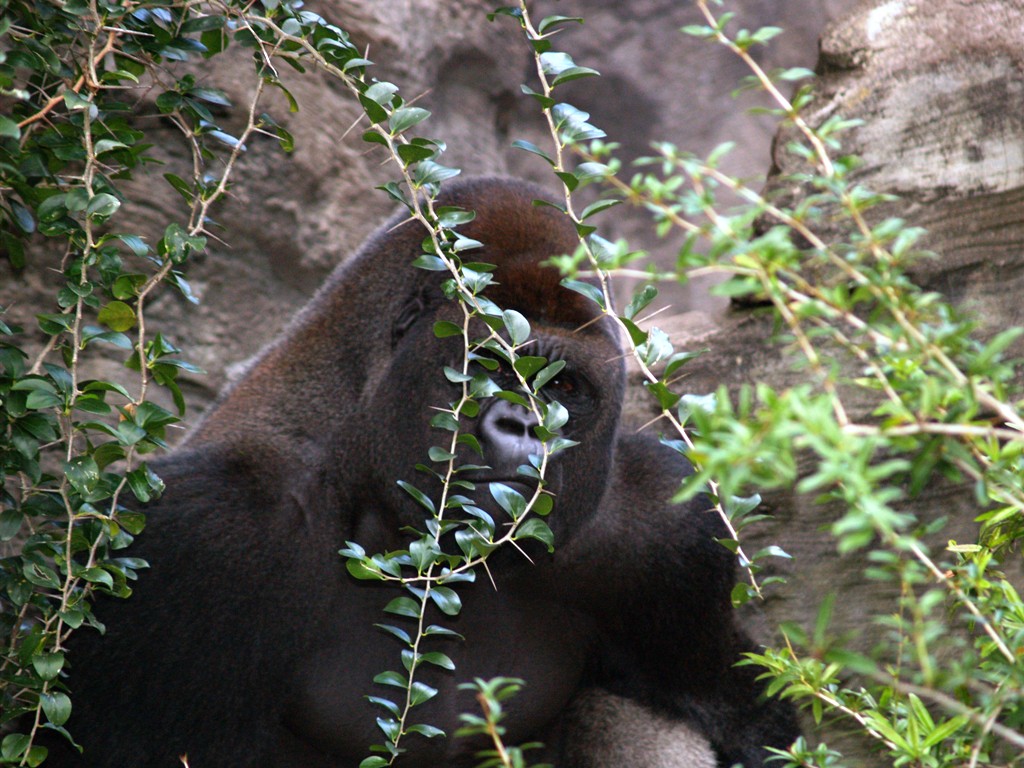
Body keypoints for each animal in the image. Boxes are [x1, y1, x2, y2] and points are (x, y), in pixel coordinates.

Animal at [43, 177, 799, 767]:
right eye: (489, 364)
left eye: (561, 387)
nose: (524, 428)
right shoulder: (215, 532)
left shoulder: (662, 526)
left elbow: (737, 710)